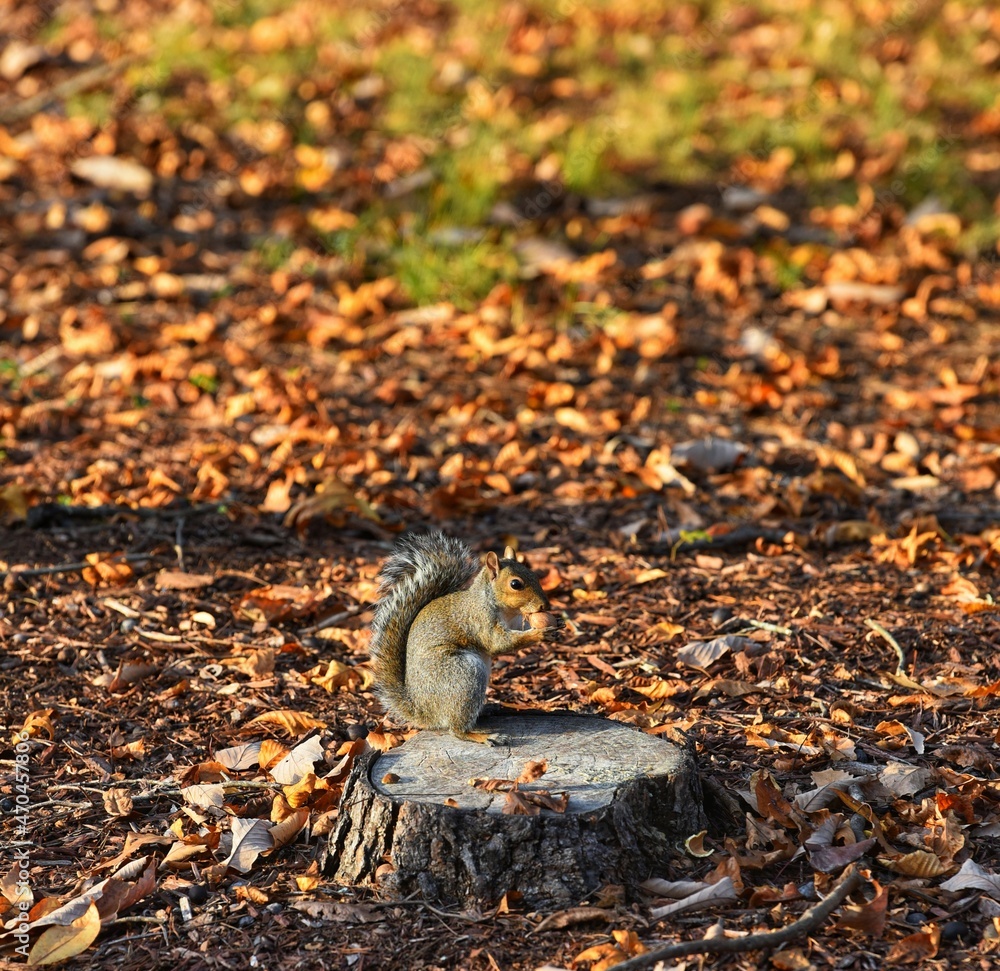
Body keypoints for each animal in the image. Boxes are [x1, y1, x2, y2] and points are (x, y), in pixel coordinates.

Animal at [369, 531, 552, 744]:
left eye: (534, 575)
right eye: (516, 584)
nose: (545, 605)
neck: (502, 607)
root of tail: (425, 713)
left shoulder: (513, 621)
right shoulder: (479, 619)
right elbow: (497, 643)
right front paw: (539, 633)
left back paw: (488, 708)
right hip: (464, 675)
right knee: (456, 729)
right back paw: (484, 736)